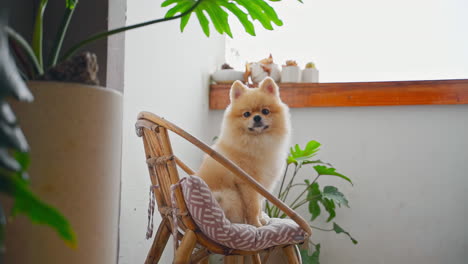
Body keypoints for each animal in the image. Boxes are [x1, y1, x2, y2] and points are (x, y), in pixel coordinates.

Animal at [197, 77, 288, 227]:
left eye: (265, 111)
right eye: (246, 114)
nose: (257, 117)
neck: (257, 141)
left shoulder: (262, 185)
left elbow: (260, 204)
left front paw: (262, 220)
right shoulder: (248, 183)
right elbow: (254, 206)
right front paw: (256, 224)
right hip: (229, 195)